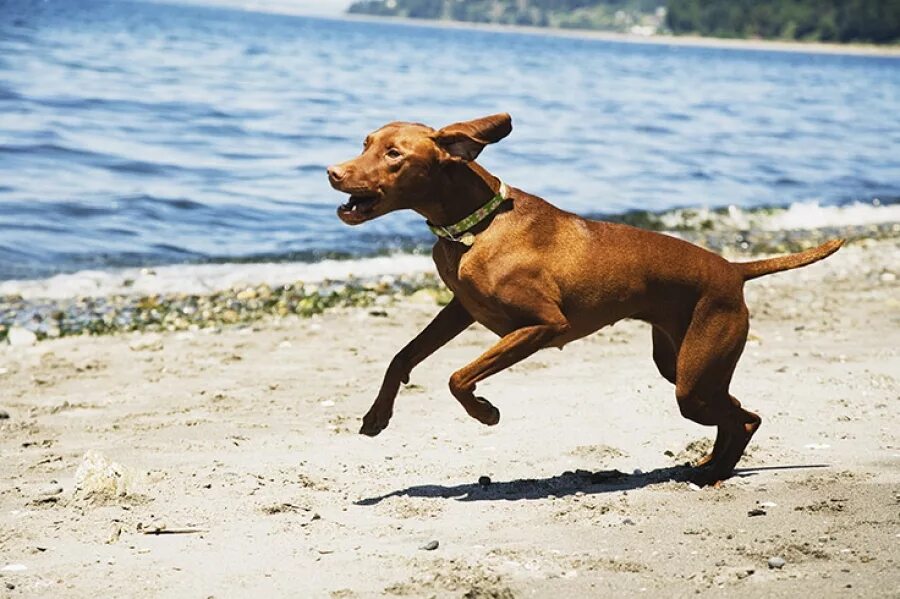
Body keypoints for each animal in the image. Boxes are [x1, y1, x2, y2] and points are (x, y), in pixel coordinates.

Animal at [326, 113, 840, 488]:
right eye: (366, 142)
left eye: (394, 154)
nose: (332, 172)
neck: (477, 227)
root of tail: (734, 269)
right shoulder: (461, 309)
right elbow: (402, 356)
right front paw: (376, 415)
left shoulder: (544, 324)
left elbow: (457, 377)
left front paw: (485, 412)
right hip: (684, 367)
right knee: (737, 414)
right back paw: (711, 467)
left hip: (693, 379)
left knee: (745, 418)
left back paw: (714, 473)